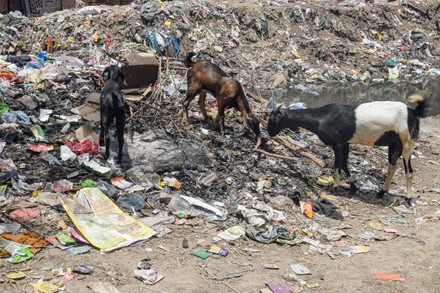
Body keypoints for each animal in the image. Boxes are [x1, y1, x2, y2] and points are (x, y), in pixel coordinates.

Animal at [266, 94, 428, 200]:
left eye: (272, 120)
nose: (269, 132)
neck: (321, 117)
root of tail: (413, 112)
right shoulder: (345, 143)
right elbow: (344, 164)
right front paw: (353, 187)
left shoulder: (337, 143)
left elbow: (337, 165)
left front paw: (335, 186)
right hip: (394, 144)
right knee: (392, 167)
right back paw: (382, 192)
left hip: (407, 141)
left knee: (409, 170)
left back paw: (408, 196)